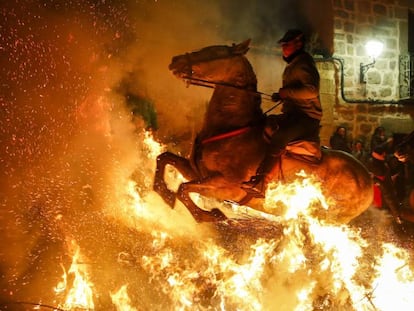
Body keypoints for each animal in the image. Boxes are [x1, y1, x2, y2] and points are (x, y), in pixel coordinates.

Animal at [154, 39, 374, 224]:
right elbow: (164, 158)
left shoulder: (224, 187)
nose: (175, 61)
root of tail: (369, 179)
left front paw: (211, 215)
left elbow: (183, 189)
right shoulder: (197, 171)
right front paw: (163, 191)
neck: (232, 128)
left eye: (212, 52)